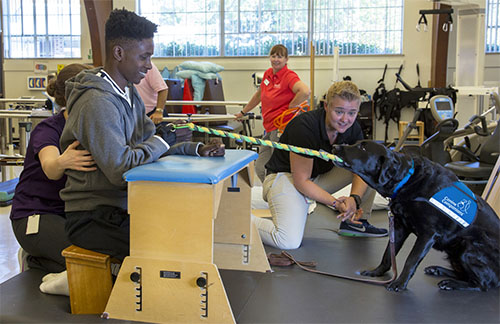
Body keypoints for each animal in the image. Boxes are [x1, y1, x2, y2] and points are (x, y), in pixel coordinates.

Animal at [330, 140, 498, 292]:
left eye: (363, 147)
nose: (335, 146)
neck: (408, 180)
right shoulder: (399, 227)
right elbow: (387, 255)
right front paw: (377, 272)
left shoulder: (428, 234)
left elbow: (411, 260)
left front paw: (399, 283)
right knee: (464, 275)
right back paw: (438, 270)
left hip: (467, 248)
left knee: (482, 284)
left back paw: (451, 283)